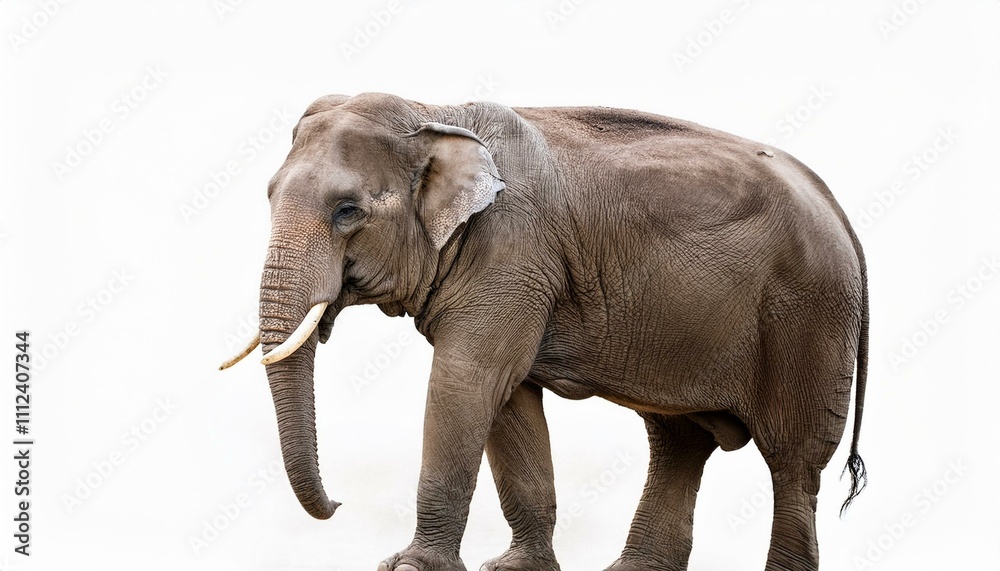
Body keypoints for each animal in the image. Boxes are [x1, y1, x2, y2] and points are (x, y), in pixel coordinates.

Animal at [221, 92, 869, 571]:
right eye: (269, 196)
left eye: (347, 211)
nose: (337, 502)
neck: (432, 113)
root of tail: (841, 213)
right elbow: (508, 400)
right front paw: (516, 568)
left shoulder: (512, 254)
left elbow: (467, 381)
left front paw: (408, 566)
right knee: (678, 443)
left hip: (810, 318)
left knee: (793, 462)